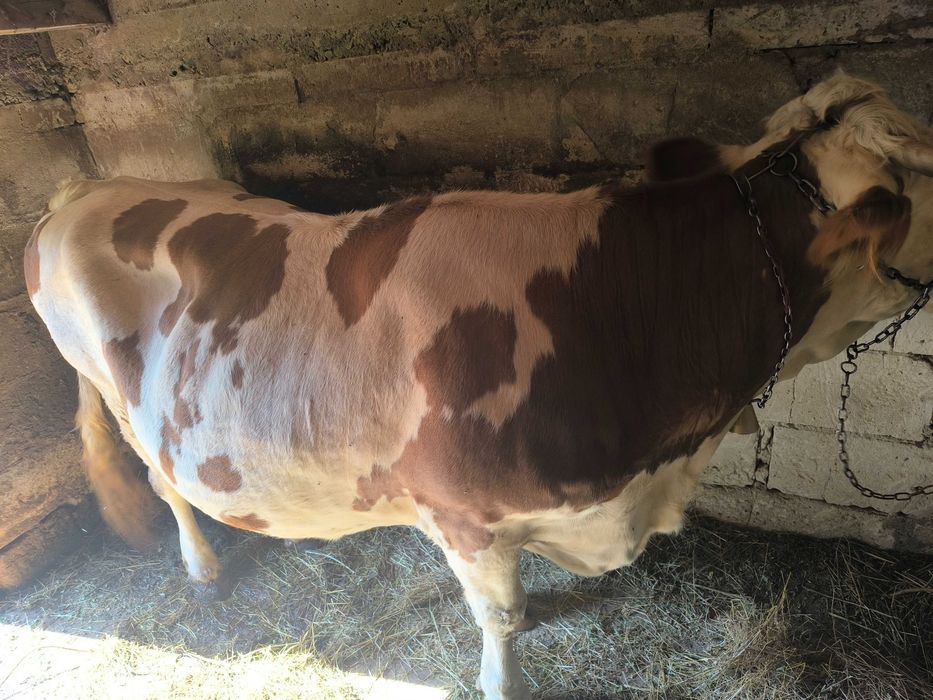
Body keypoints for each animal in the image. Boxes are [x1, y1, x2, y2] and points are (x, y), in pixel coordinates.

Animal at [24, 73, 933, 699]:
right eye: (906, 186)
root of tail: (88, 188)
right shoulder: (462, 515)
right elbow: (497, 617)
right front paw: (504, 678)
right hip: (107, 387)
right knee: (160, 480)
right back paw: (203, 566)